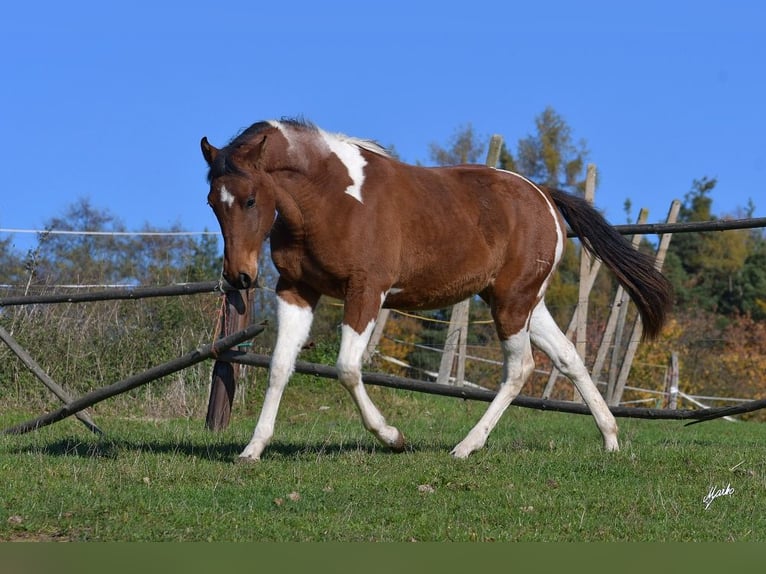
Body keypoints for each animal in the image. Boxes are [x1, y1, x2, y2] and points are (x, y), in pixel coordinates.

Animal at [201, 119, 676, 462]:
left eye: (250, 199)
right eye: (212, 202)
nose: (240, 277)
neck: (328, 199)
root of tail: (543, 195)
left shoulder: (366, 291)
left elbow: (347, 368)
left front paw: (393, 437)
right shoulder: (296, 290)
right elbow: (280, 366)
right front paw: (252, 449)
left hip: (512, 304)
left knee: (520, 368)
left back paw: (466, 447)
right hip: (523, 302)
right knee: (568, 358)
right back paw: (611, 440)